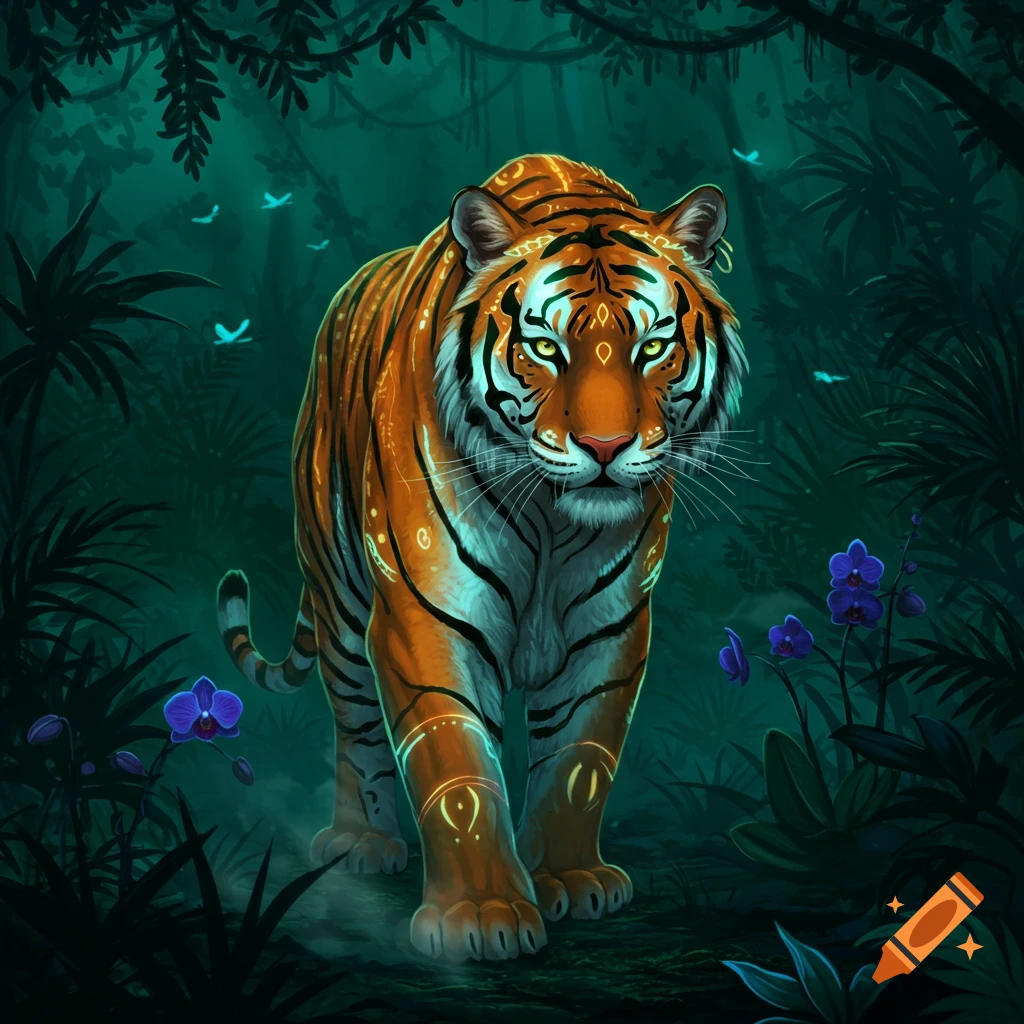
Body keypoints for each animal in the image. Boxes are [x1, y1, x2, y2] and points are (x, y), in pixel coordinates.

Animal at [217, 154, 745, 963]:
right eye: (545, 348)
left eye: (652, 347)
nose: (604, 448)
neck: (556, 521)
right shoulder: (426, 617)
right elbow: (456, 765)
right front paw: (483, 914)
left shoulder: (611, 629)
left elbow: (578, 759)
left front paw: (569, 879)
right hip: (338, 594)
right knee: (353, 721)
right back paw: (362, 842)